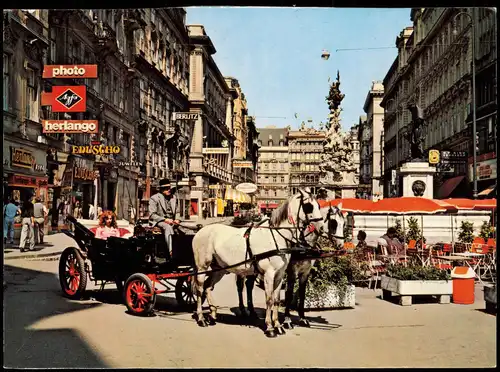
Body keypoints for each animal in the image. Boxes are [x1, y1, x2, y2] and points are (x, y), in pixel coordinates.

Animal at [191, 189, 324, 338]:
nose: (321, 228)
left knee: (208, 286)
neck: (276, 237)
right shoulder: (269, 274)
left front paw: (278, 325)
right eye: (308, 206)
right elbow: (269, 300)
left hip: (219, 268)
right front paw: (270, 327)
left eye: (319, 205)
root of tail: (201, 230)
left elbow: (276, 300)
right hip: (202, 266)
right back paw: (201, 318)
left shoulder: (279, 275)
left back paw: (213, 314)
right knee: (200, 289)